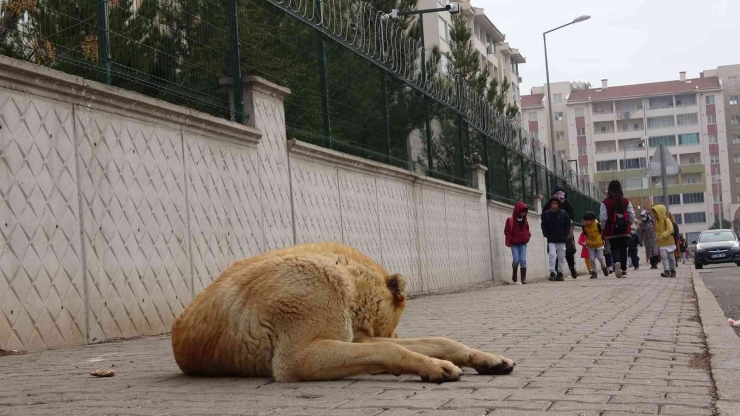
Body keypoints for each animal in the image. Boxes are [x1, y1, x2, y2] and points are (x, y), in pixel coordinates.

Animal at [172, 242, 516, 382]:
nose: (395, 333)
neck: (342, 275)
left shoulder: (355, 340)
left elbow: (440, 341)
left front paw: (487, 358)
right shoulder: (299, 358)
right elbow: (391, 350)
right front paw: (432, 366)